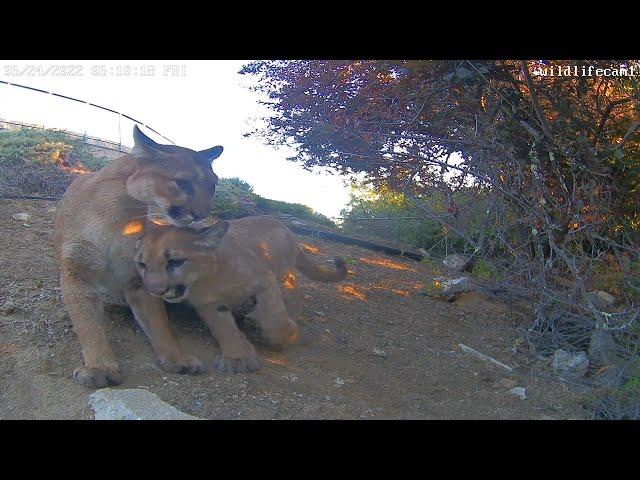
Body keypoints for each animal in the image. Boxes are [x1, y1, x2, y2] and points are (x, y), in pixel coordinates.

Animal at [55, 125, 225, 388]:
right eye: (183, 183)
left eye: (213, 185)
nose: (202, 214)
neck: (117, 215)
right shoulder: (77, 271)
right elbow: (88, 324)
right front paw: (99, 367)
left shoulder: (140, 280)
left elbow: (158, 322)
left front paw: (176, 358)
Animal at [132, 216, 348, 374]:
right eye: (142, 264)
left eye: (176, 261)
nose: (154, 291)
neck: (208, 278)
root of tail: (281, 224)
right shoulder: (209, 304)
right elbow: (223, 328)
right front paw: (237, 358)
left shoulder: (265, 281)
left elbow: (275, 318)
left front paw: (283, 335)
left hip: (283, 275)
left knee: (293, 297)